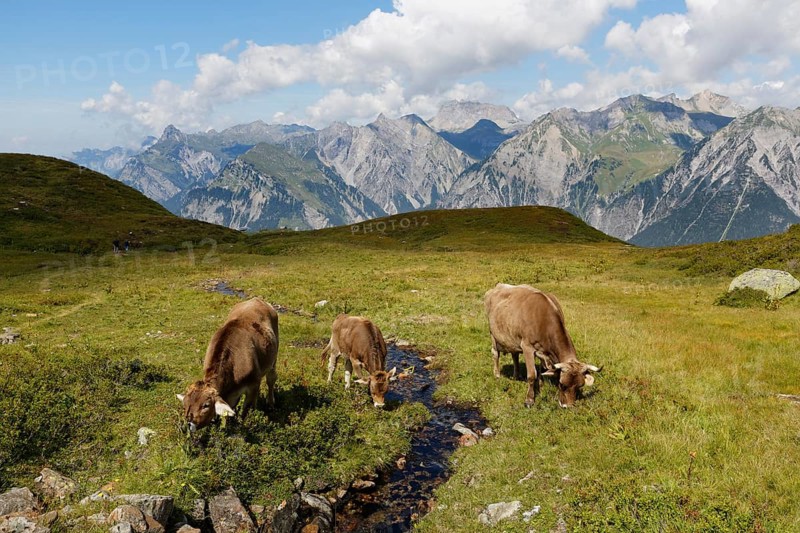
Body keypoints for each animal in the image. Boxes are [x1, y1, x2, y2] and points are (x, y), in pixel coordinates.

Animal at [177, 297, 279, 431]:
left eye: (206, 405)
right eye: (185, 405)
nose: (188, 425)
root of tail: (256, 299)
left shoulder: (253, 385)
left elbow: (245, 410)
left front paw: (242, 423)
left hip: (274, 357)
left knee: (271, 379)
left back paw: (271, 403)